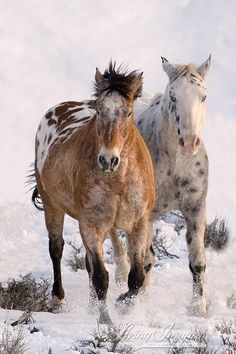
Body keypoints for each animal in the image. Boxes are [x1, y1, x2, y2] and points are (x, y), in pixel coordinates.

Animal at [32, 63, 156, 324]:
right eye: (99, 111)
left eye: (128, 113)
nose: (108, 159)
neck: (118, 182)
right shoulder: (91, 225)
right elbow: (101, 276)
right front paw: (105, 320)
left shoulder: (139, 223)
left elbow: (136, 276)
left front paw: (123, 305)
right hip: (52, 206)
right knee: (56, 249)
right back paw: (58, 299)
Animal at [111, 56, 211, 316]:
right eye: (173, 97)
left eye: (203, 97)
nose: (189, 142)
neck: (175, 164)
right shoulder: (146, 214)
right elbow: (144, 259)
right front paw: (140, 303)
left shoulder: (195, 209)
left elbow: (197, 262)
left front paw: (198, 307)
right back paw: (121, 276)